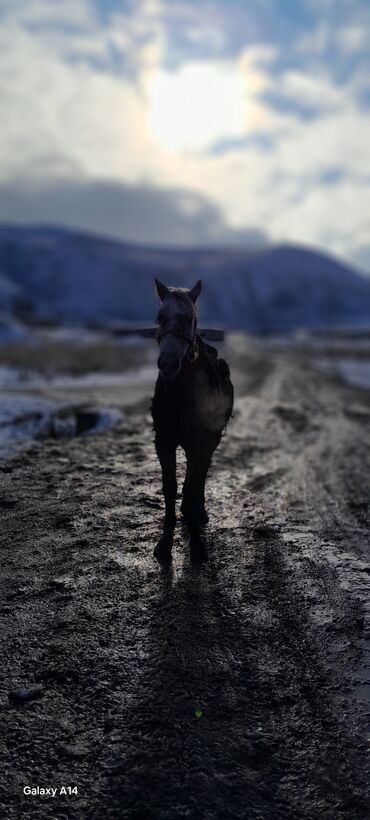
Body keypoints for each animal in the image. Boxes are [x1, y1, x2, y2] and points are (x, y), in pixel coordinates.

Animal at [151, 278, 234, 560]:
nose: (167, 364)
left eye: (188, 318)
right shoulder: (164, 441)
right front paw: (165, 542)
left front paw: (197, 544)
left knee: (201, 476)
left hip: (210, 441)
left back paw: (198, 513)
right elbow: (169, 486)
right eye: (160, 317)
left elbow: (196, 482)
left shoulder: (201, 441)